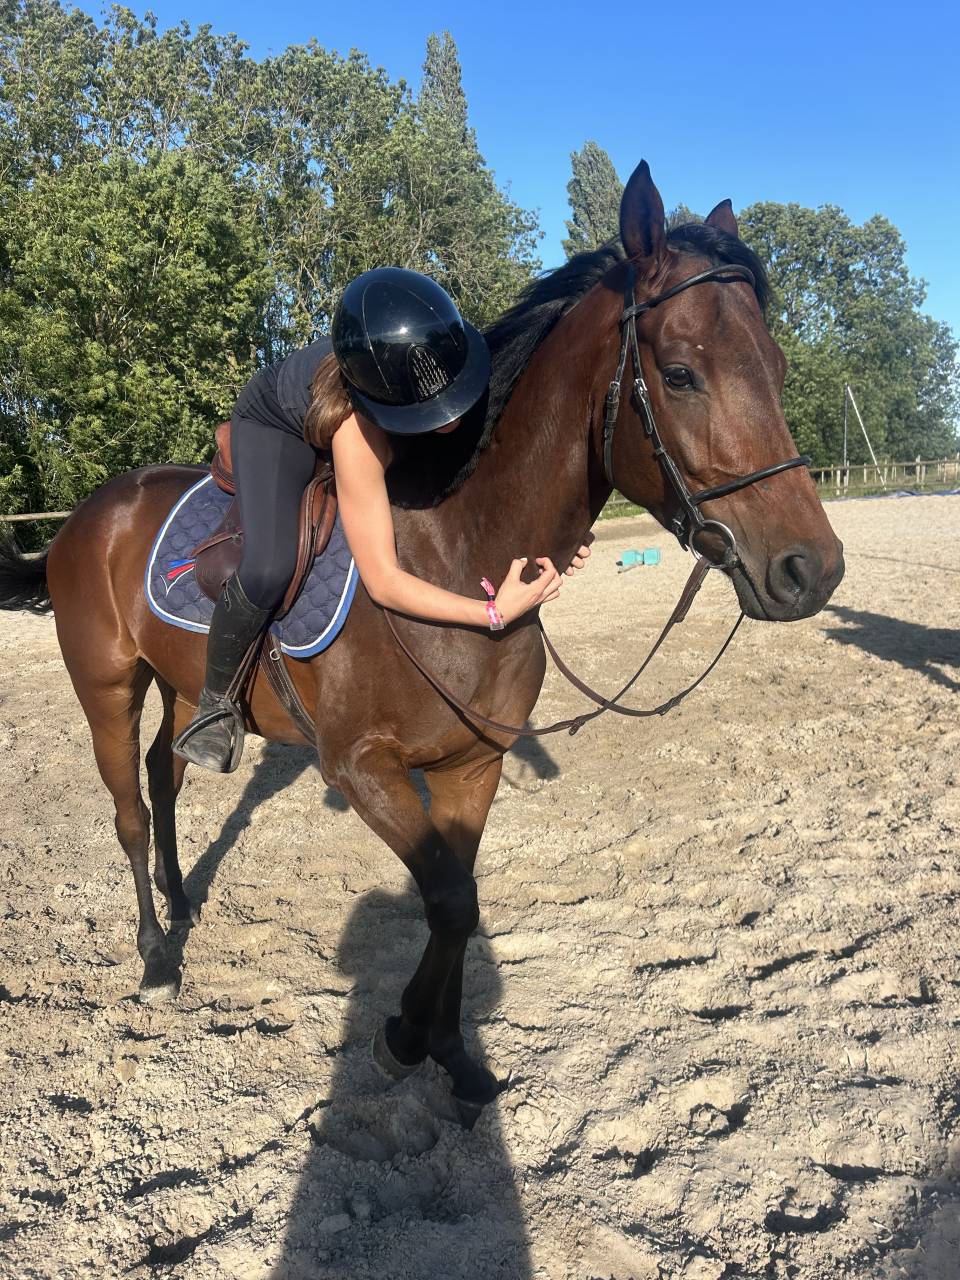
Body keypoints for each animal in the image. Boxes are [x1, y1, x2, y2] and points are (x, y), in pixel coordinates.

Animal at [0, 161, 844, 1118]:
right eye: (679, 373)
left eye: (778, 368)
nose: (811, 569)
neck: (454, 554)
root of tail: (90, 511)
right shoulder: (364, 768)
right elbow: (444, 899)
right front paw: (407, 1038)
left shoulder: (471, 764)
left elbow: (461, 900)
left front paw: (447, 1048)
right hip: (107, 685)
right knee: (131, 812)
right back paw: (153, 958)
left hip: (179, 685)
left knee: (165, 776)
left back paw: (184, 907)